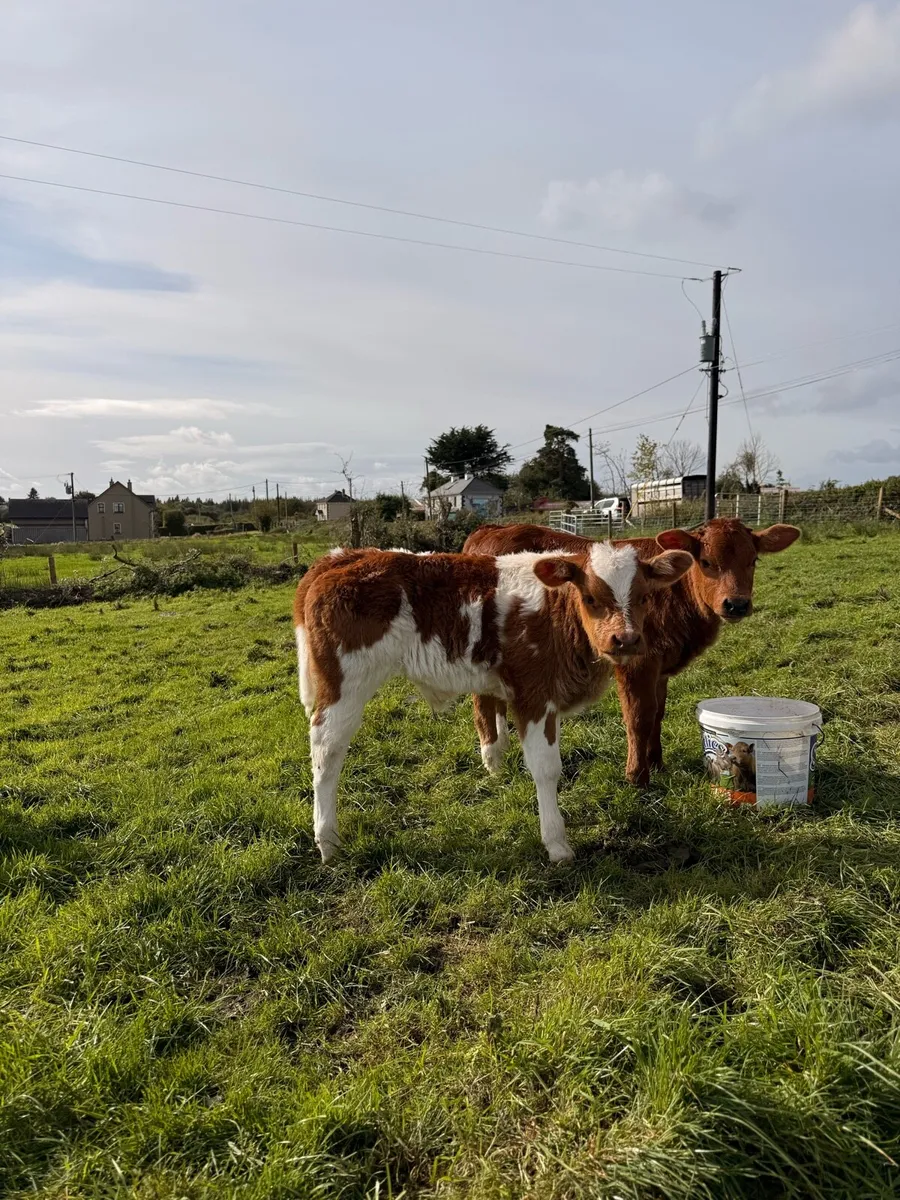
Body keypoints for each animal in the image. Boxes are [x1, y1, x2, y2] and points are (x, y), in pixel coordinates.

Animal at [294, 543, 693, 864]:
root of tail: (344, 556)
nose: (625, 639)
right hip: (344, 687)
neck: (555, 611)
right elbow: (546, 769)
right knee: (326, 754)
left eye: (644, 597)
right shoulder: (533, 696)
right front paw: (557, 843)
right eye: (591, 598)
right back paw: (327, 841)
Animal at [462, 519, 800, 786]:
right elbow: (638, 716)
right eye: (706, 562)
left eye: (753, 560)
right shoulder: (637, 662)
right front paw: (637, 777)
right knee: (481, 702)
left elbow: (657, 714)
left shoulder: (661, 667)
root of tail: (490, 529)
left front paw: (657, 763)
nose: (736, 604)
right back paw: (493, 760)